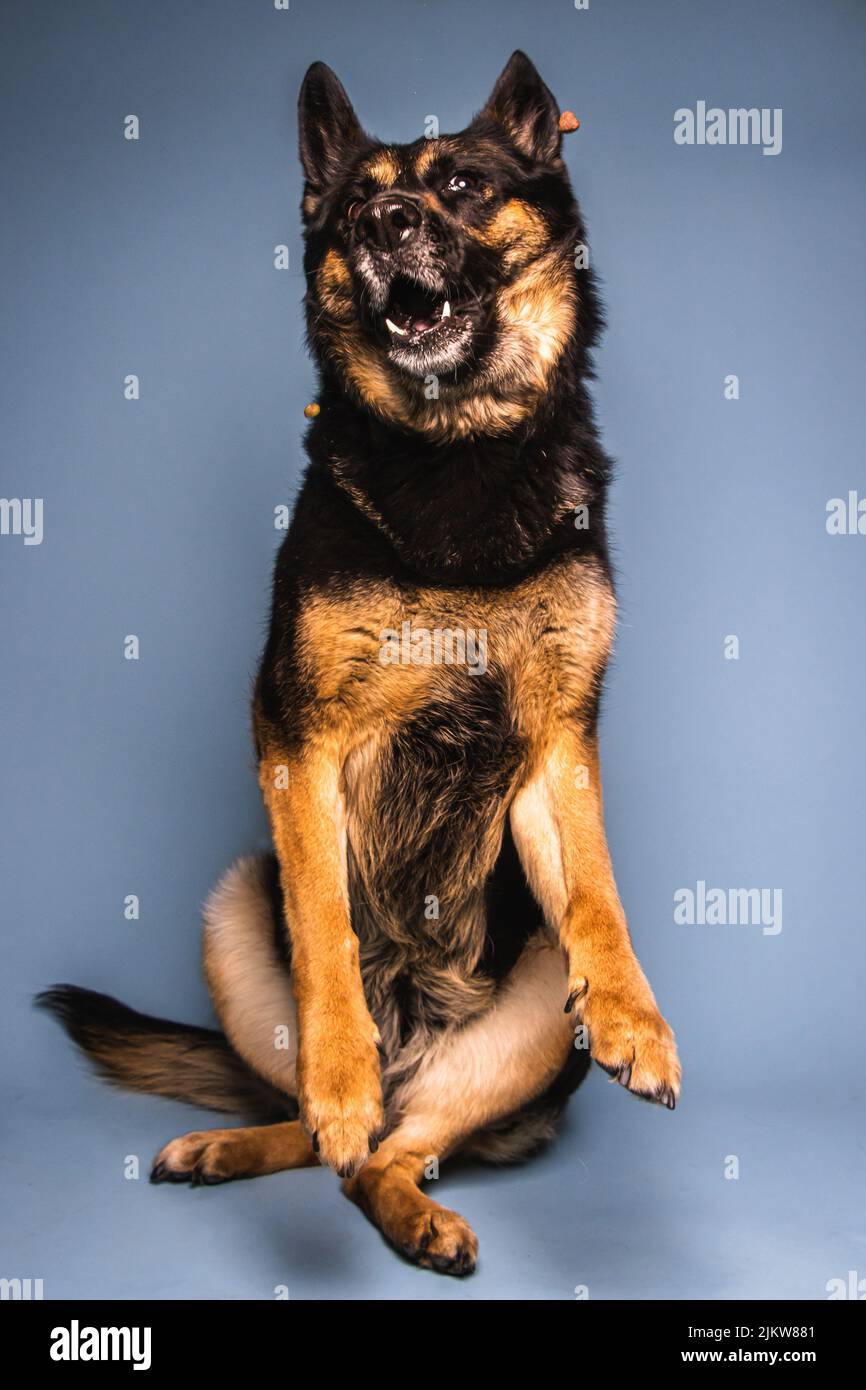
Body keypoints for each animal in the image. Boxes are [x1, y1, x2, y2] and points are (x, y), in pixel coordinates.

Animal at [40, 54, 681, 1273]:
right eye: (351, 211)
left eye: (464, 184)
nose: (387, 226)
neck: (458, 453)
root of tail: (416, 1052)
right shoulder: (298, 737)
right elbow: (327, 926)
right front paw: (338, 1069)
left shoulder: (557, 744)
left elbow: (598, 890)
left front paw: (635, 1015)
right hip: (230, 908)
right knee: (327, 1133)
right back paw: (258, 1132)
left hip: (528, 1019)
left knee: (390, 1155)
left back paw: (416, 1211)